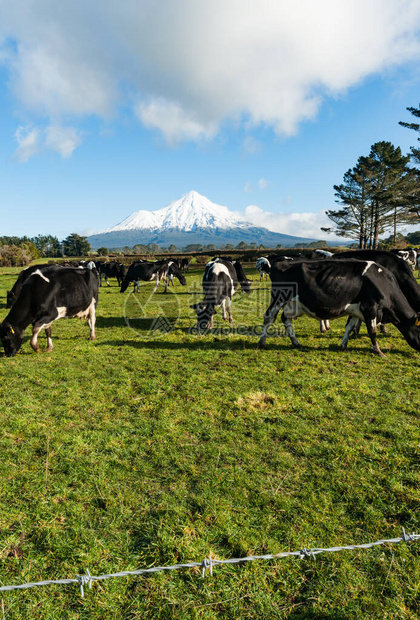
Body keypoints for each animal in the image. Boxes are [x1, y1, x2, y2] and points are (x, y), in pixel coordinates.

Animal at [260, 258, 420, 356]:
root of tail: (279, 263)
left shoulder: (356, 310)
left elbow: (349, 326)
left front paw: (343, 345)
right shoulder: (370, 307)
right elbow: (372, 330)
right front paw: (378, 351)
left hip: (294, 305)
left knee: (285, 318)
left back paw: (296, 342)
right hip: (279, 297)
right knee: (269, 317)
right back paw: (262, 343)